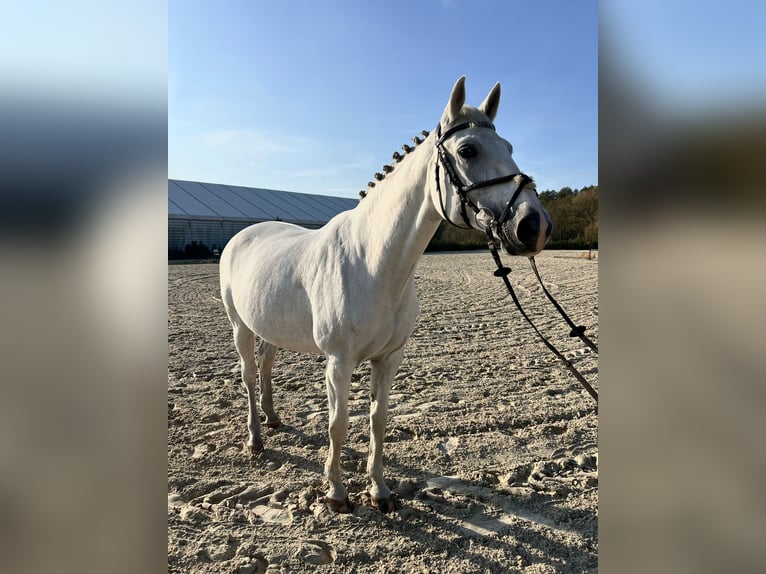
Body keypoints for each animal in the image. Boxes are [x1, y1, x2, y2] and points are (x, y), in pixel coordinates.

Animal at [222, 75, 552, 512]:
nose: (534, 226)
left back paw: (274, 420)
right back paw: (256, 440)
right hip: (240, 327)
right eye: (468, 150)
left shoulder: (389, 358)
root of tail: (244, 235)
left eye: (510, 148)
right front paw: (337, 492)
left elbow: (378, 420)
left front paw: (379, 490)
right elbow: (338, 424)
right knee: (247, 375)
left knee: (265, 366)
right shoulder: (339, 362)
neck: (371, 262)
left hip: (270, 329)